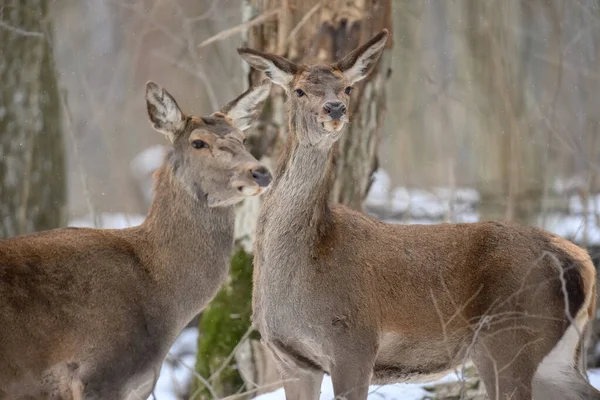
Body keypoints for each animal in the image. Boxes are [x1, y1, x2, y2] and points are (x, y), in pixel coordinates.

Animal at [239, 31, 600, 400]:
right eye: (298, 90)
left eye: (347, 88)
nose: (335, 108)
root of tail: (584, 262)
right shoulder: (290, 360)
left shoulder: (354, 342)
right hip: (555, 356)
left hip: (509, 339)